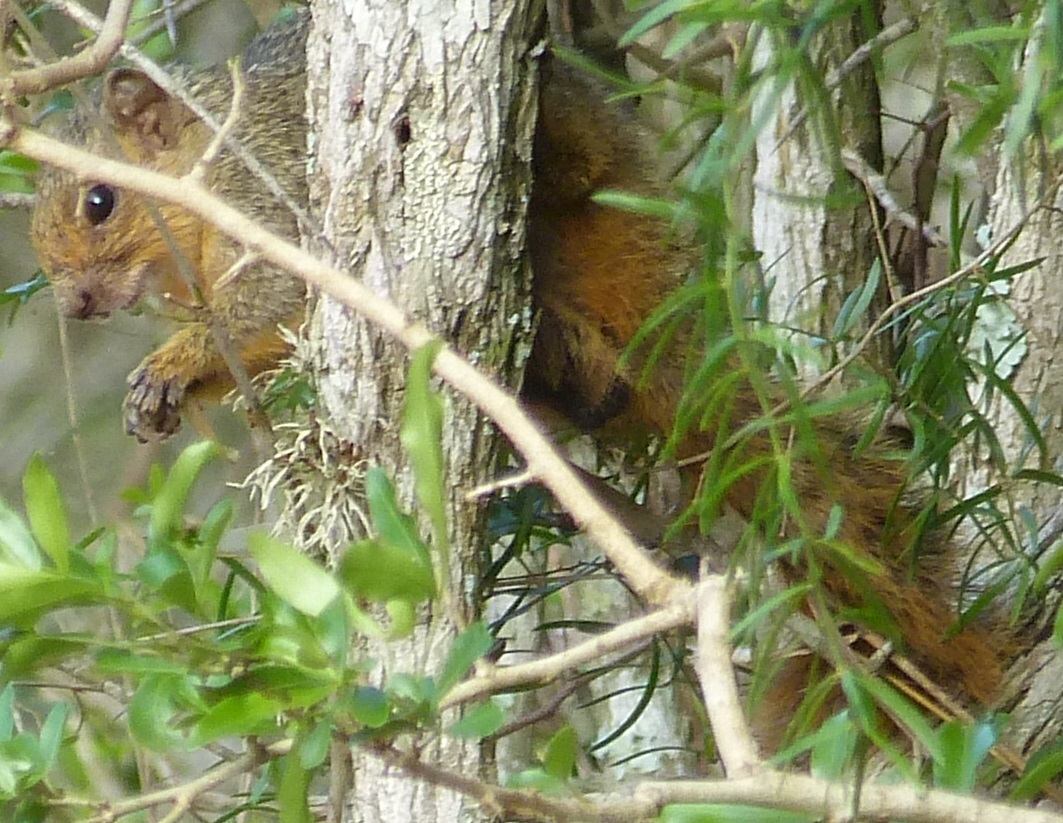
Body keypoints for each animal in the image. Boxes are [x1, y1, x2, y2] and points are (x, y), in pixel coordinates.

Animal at [31, 11, 1011, 735]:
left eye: (98, 201)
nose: (75, 306)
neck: (198, 183)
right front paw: (157, 397)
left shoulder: (267, 198)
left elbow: (267, 305)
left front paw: (169, 362)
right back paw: (568, 371)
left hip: (577, 161)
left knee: (567, 169)